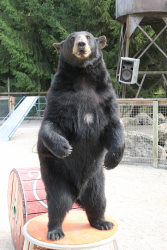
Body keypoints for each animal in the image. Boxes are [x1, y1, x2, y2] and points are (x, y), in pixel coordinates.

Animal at [37, 30, 124, 240]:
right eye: (71, 39)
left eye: (89, 36)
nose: (82, 44)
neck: (83, 77)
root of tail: (77, 194)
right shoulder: (59, 95)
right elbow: (51, 123)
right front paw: (64, 147)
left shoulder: (105, 98)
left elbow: (113, 125)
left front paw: (112, 158)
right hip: (56, 175)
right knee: (58, 203)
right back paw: (55, 230)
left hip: (96, 179)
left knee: (98, 200)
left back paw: (102, 222)